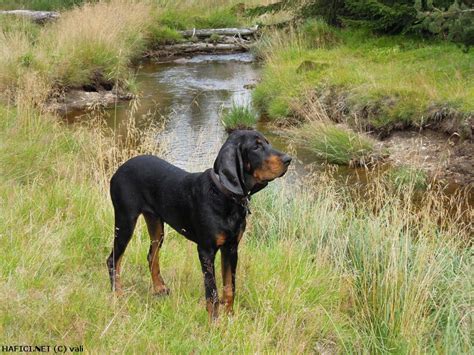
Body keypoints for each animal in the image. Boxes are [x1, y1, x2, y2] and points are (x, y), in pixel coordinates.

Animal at [107, 130, 290, 320]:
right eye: (256, 147)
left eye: (267, 143)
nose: (288, 159)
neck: (223, 196)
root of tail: (118, 170)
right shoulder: (206, 251)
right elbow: (212, 291)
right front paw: (214, 321)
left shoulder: (231, 248)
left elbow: (229, 287)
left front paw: (230, 316)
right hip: (125, 221)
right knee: (113, 259)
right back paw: (118, 293)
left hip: (156, 225)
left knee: (152, 256)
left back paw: (159, 288)